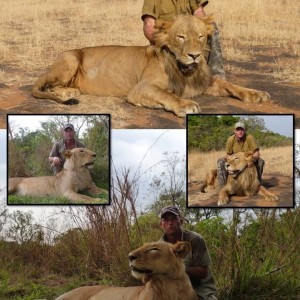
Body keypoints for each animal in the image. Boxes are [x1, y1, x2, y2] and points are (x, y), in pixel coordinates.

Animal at [31, 14, 270, 117]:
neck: (185, 70)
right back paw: (67, 92)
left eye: (201, 36)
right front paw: (185, 105)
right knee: (47, 86)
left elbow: (231, 86)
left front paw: (257, 94)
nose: (194, 55)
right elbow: (167, 94)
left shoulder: (205, 82)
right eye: (181, 37)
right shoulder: (140, 88)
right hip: (70, 59)